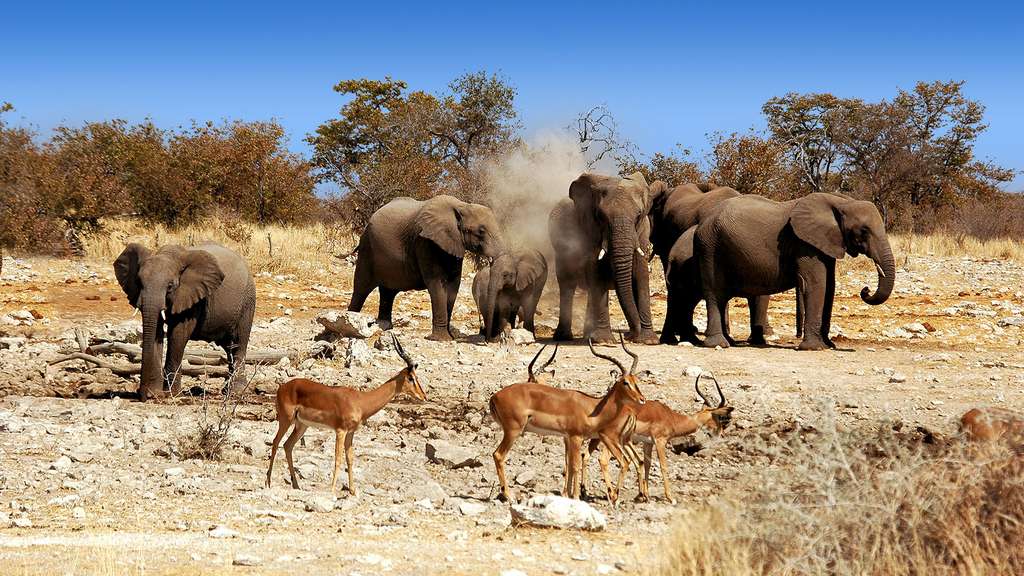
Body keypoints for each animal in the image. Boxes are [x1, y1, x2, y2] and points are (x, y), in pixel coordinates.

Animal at [112, 240, 253, 399]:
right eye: (138, 282)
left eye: (170, 286)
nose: (142, 395)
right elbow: (156, 331)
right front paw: (155, 393)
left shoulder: (192, 295)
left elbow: (178, 334)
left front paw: (170, 394)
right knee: (229, 348)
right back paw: (226, 391)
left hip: (247, 302)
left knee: (238, 344)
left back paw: (235, 392)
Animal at [350, 194, 505, 338]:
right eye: (481, 231)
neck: (462, 206)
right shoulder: (424, 242)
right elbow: (437, 283)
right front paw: (442, 339)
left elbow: (454, 285)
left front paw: (450, 337)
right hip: (367, 247)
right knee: (361, 287)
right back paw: (351, 320)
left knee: (388, 291)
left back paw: (384, 327)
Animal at [548, 170, 659, 340]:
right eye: (600, 216)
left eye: (638, 216)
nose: (629, 336)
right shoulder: (590, 230)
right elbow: (597, 271)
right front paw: (604, 340)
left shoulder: (643, 231)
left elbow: (641, 274)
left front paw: (648, 340)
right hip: (561, 251)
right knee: (567, 286)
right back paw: (564, 337)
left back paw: (588, 336)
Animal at [696, 191, 897, 350]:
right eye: (864, 231)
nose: (865, 290)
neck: (840, 202)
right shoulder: (804, 243)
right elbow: (817, 283)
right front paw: (814, 348)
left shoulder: (825, 243)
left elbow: (830, 286)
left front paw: (829, 345)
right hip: (710, 248)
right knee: (715, 294)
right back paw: (718, 344)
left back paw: (729, 341)